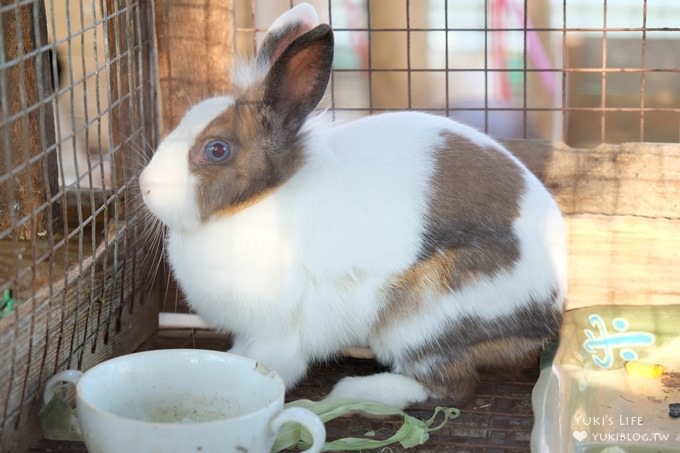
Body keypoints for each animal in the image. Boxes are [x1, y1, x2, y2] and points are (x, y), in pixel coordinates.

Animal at [139, 1, 568, 408]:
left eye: (217, 150)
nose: (145, 186)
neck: (259, 200)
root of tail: (551, 309)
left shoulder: (279, 333)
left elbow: (272, 365)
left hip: (421, 319)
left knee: (451, 388)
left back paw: (357, 392)